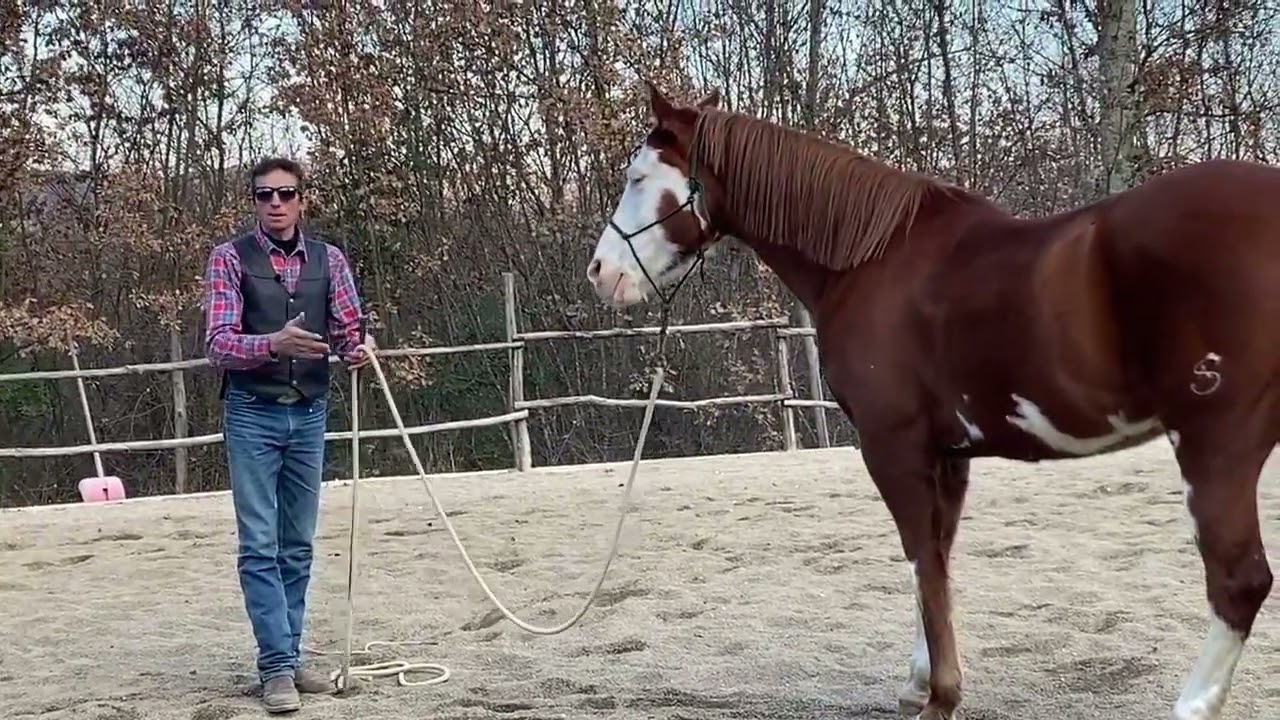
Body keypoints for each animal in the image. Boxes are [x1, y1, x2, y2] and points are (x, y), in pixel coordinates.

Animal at [584, 81, 1278, 720]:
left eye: (638, 176)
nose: (601, 272)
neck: (869, 259)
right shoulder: (949, 452)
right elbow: (935, 560)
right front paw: (923, 680)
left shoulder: (892, 445)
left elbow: (921, 556)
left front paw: (941, 695)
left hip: (1215, 444)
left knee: (1238, 581)